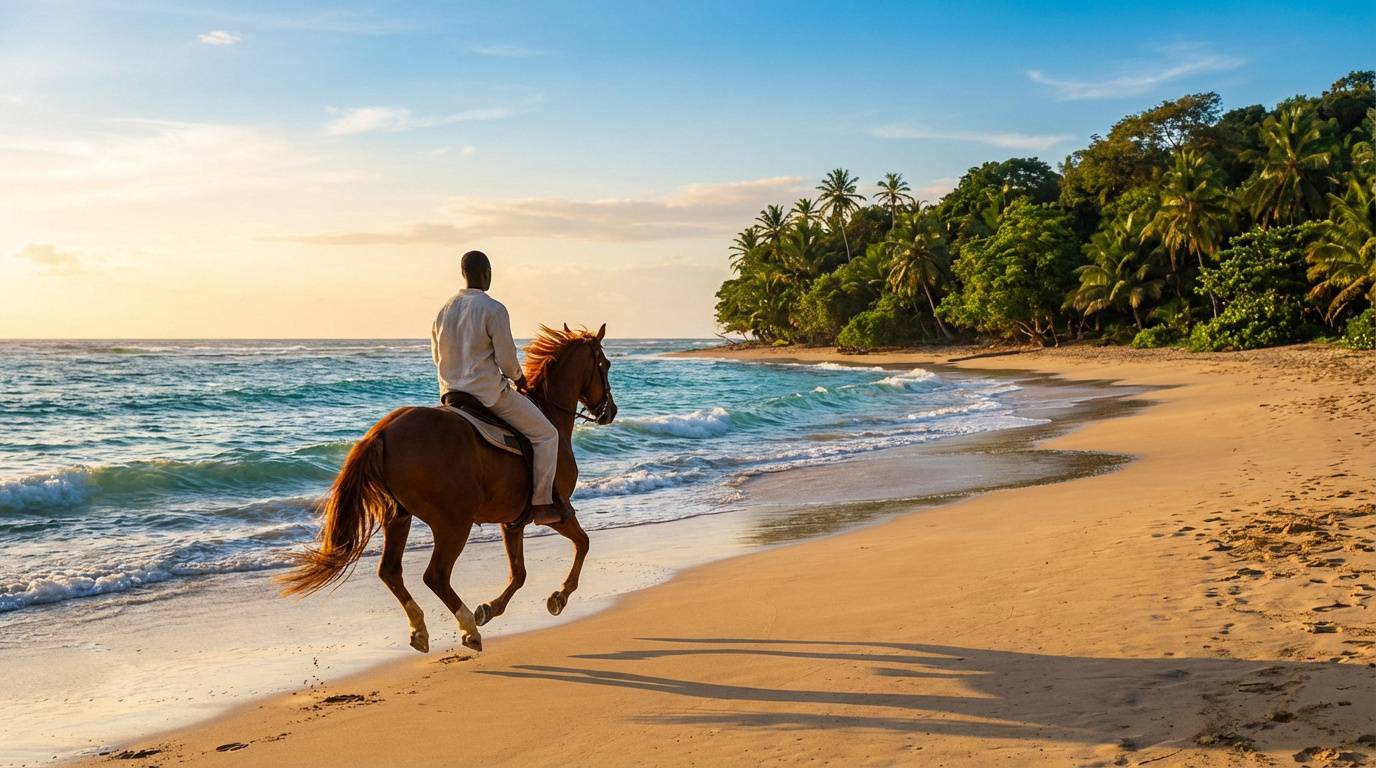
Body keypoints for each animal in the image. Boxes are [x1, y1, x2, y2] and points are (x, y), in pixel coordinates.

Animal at [279, 324, 617, 654]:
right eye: (606, 364)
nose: (610, 411)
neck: (550, 415)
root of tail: (384, 431)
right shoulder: (557, 512)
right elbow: (583, 544)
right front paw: (560, 596)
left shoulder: (512, 522)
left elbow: (519, 573)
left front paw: (491, 608)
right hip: (454, 523)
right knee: (436, 576)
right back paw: (468, 628)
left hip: (399, 517)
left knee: (390, 571)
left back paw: (420, 628)